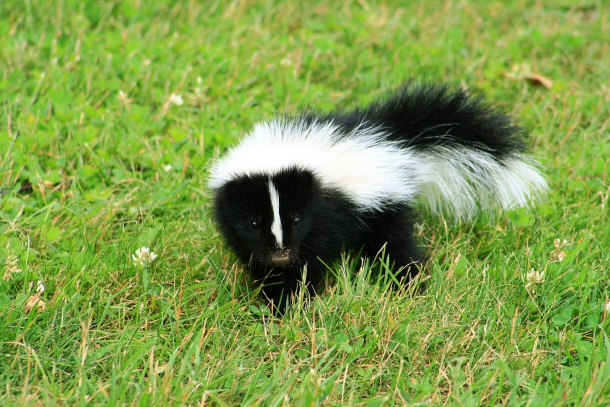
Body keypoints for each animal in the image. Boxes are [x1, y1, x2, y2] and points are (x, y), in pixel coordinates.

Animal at [209, 82, 548, 312]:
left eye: (296, 218)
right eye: (253, 223)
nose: (281, 254)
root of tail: (394, 138)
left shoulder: (326, 214)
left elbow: (309, 262)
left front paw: (288, 301)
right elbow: (255, 257)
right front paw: (271, 292)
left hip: (384, 208)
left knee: (396, 247)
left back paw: (409, 284)